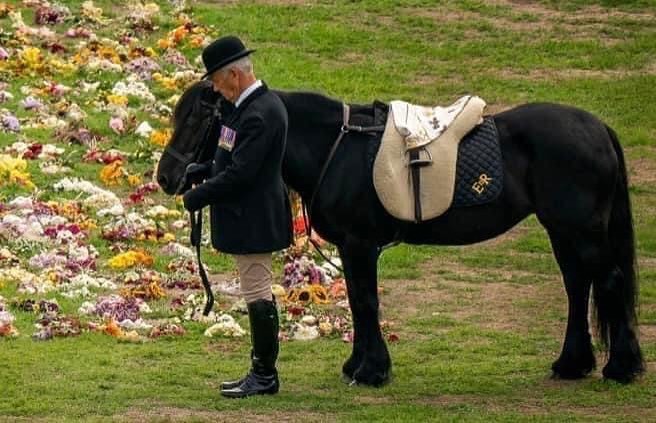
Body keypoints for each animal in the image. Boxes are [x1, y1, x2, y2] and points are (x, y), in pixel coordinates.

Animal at [156, 80, 644, 388]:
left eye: (198, 118)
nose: (167, 177)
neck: (337, 147)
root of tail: (598, 128)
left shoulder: (359, 245)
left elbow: (366, 302)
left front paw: (371, 372)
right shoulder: (352, 247)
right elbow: (359, 303)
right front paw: (358, 365)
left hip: (580, 231)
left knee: (608, 282)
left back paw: (621, 367)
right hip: (563, 231)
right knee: (578, 286)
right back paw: (572, 364)